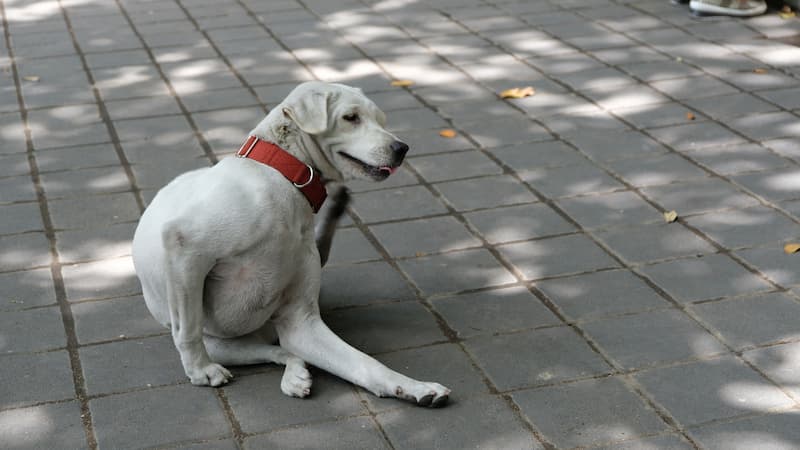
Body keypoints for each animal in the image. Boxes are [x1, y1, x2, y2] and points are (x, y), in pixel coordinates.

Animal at [134, 81, 454, 408]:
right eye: (350, 117)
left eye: (381, 119)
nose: (402, 148)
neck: (283, 180)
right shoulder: (184, 244)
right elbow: (187, 329)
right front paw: (201, 371)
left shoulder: (302, 323)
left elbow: (366, 364)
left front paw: (413, 388)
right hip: (222, 345)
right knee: (268, 350)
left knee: (287, 351)